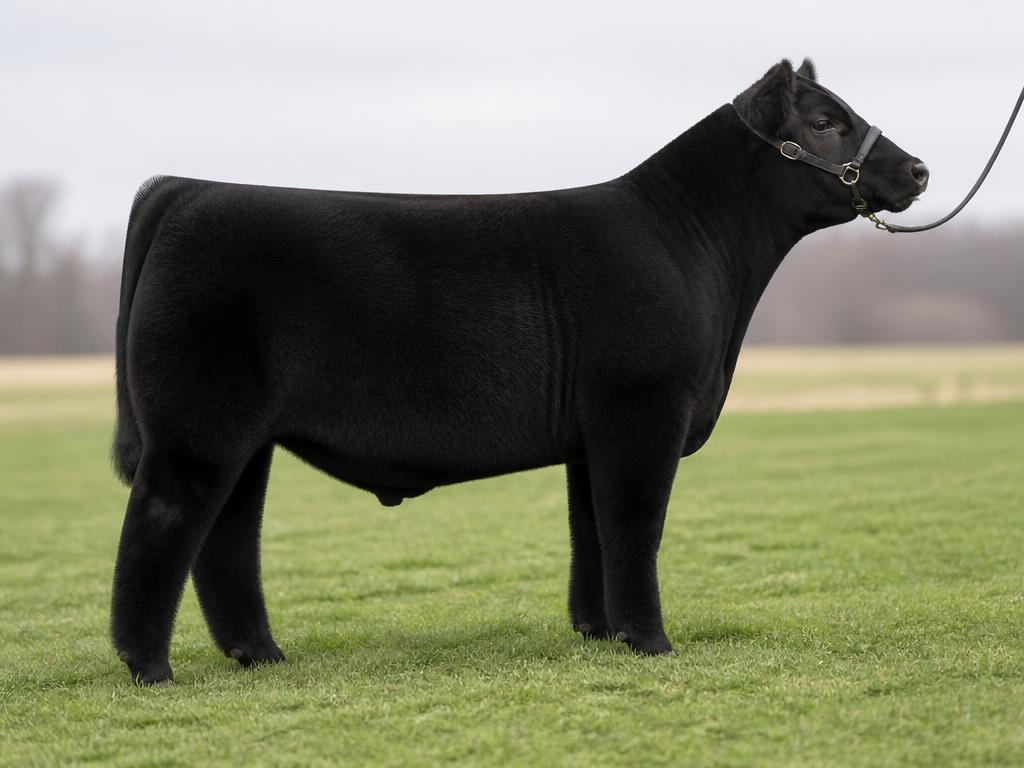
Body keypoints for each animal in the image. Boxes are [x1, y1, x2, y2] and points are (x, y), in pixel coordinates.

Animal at [110, 58, 927, 684]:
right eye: (823, 122)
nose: (918, 167)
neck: (689, 247)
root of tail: (189, 188)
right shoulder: (643, 411)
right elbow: (636, 524)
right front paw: (651, 642)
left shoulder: (593, 435)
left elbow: (591, 529)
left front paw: (601, 632)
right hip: (196, 431)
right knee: (163, 524)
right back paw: (150, 667)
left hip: (244, 439)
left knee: (226, 539)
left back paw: (262, 656)